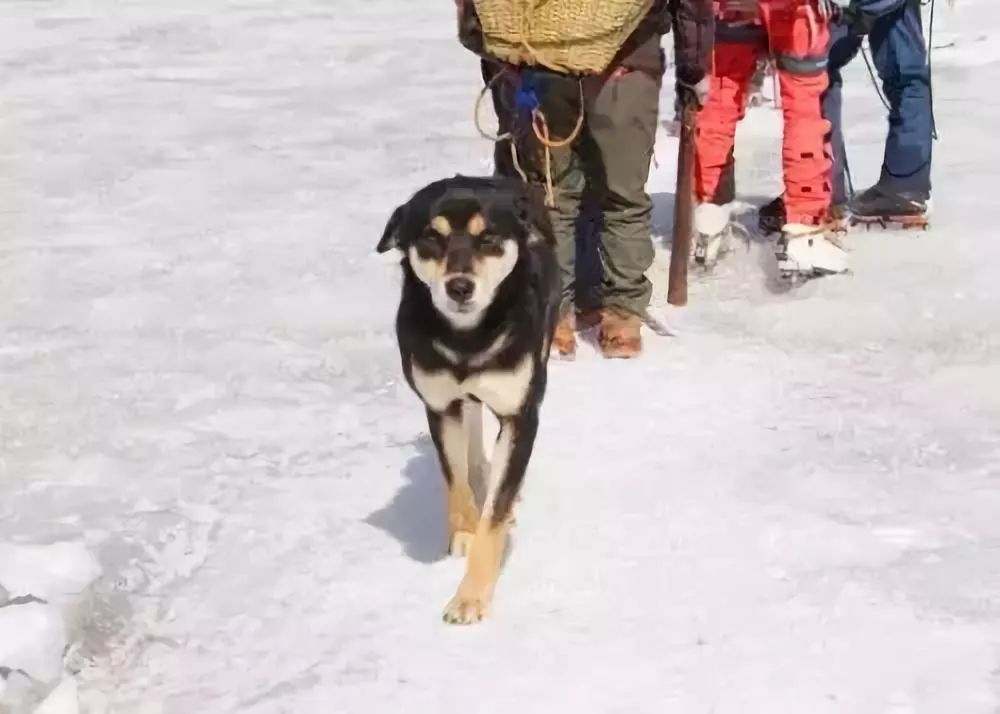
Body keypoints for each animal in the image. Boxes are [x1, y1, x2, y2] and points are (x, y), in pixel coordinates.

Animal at [376, 174, 560, 624]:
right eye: (431, 238)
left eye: (488, 238)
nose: (459, 287)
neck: (467, 339)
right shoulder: (439, 406)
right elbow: (454, 478)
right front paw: (463, 531)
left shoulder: (520, 414)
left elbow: (495, 515)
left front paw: (471, 596)